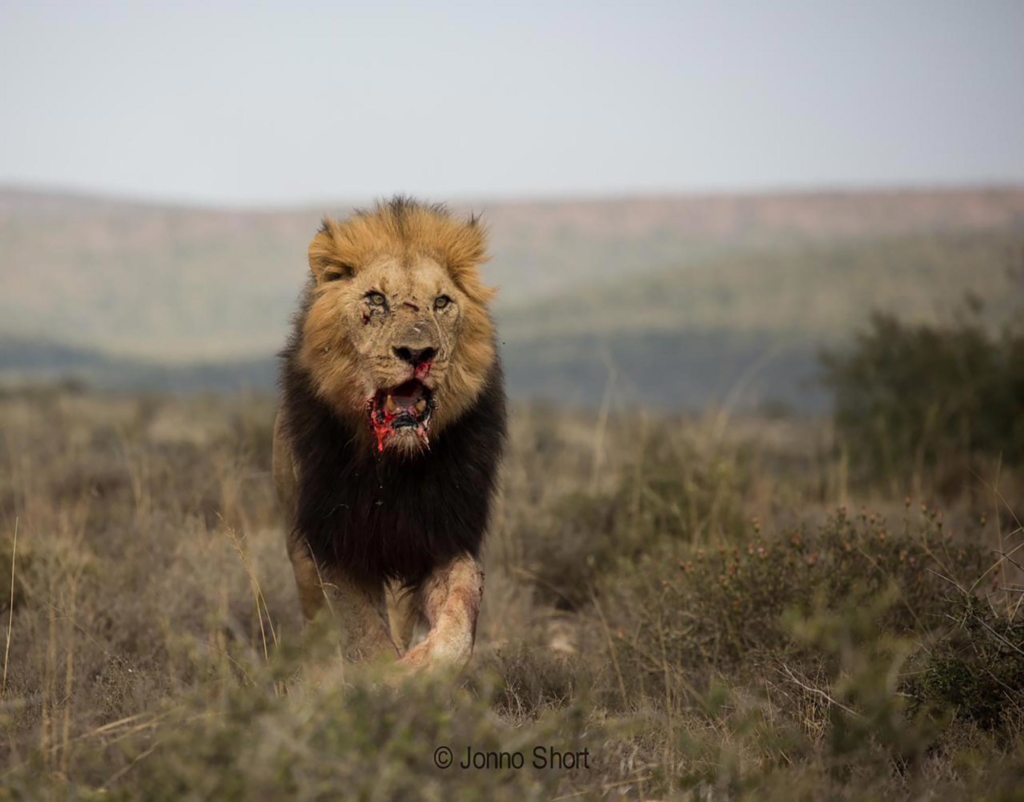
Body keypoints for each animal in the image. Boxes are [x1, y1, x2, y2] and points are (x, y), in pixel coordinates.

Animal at [273, 197, 507, 673]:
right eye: (376, 300)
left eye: (441, 302)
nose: (418, 353)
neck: (394, 467)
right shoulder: (336, 542)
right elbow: (363, 635)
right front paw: (382, 677)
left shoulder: (444, 533)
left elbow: (460, 613)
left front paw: (420, 669)